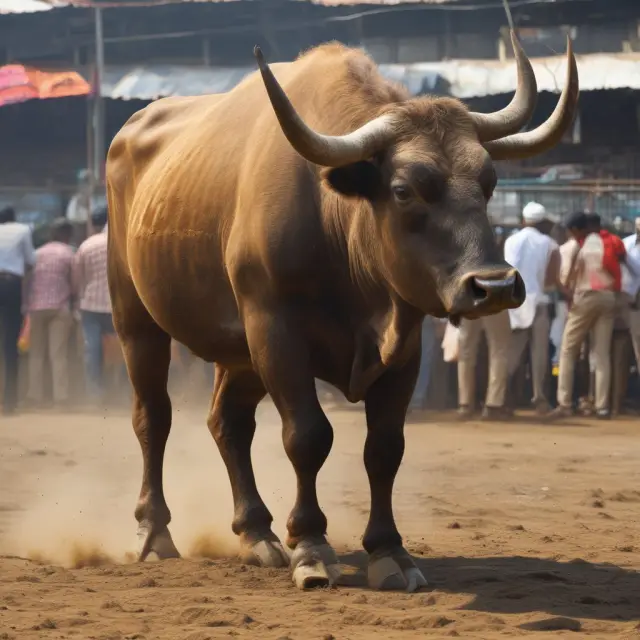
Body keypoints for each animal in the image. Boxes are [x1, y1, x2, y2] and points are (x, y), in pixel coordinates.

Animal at [106, 31, 578, 592]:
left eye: (488, 184)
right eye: (403, 190)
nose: (496, 285)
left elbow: (385, 448)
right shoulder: (277, 332)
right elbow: (308, 436)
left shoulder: (405, 347)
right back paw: (155, 533)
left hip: (240, 354)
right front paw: (311, 546)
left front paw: (389, 551)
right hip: (136, 320)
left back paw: (256, 533)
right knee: (153, 417)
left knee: (228, 423)